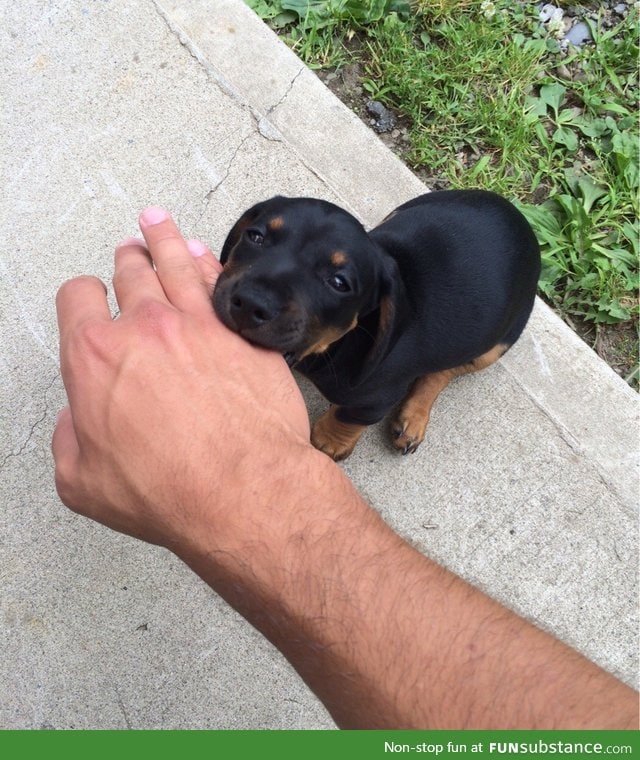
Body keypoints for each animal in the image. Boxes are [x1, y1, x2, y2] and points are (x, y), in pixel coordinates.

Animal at [214, 193, 540, 460]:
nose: (251, 304)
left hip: (497, 344)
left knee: (446, 370)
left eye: (339, 283)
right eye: (255, 236)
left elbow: (346, 418)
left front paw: (330, 442)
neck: (337, 346)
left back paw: (414, 417)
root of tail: (519, 218)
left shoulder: (373, 402)